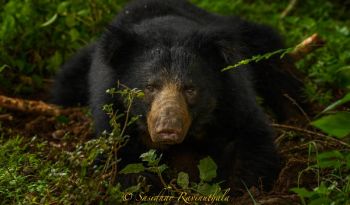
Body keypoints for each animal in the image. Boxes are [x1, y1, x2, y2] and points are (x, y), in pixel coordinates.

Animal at [52, 0, 304, 194]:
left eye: (190, 89)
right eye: (150, 87)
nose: (168, 128)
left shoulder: (234, 98)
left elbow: (252, 140)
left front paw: (240, 186)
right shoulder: (111, 110)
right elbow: (120, 160)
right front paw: (146, 184)